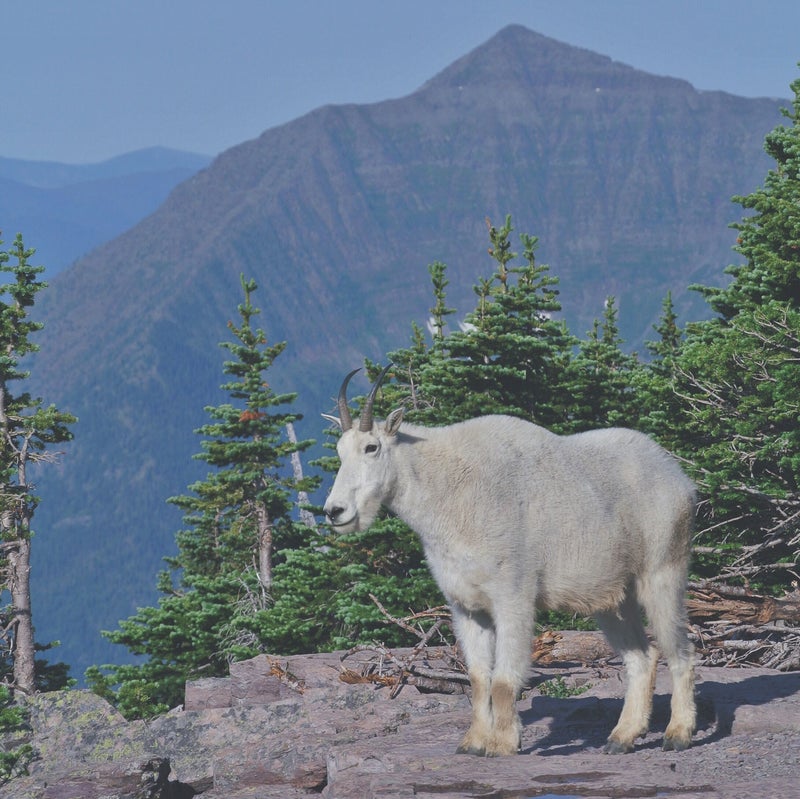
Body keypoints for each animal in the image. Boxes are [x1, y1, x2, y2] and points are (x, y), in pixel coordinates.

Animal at [322, 368, 696, 756]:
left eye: (372, 447)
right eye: (339, 451)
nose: (334, 512)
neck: (447, 492)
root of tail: (678, 476)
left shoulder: (512, 596)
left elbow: (503, 679)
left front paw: (503, 743)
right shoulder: (465, 606)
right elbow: (477, 678)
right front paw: (472, 742)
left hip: (663, 570)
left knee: (681, 651)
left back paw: (678, 733)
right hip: (612, 598)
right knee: (642, 657)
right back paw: (622, 737)